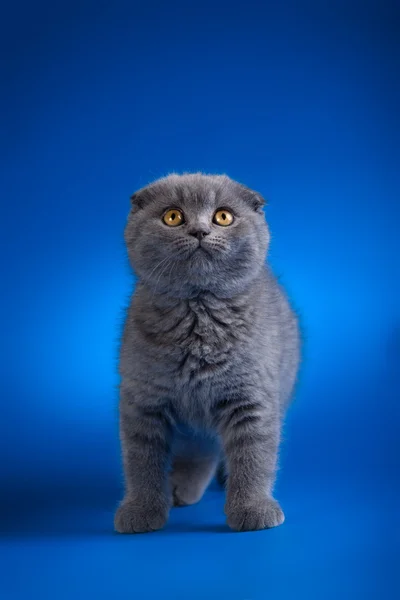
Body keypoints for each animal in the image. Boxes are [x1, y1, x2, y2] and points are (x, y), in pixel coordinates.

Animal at [114, 173, 298, 536]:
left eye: (223, 216)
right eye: (173, 216)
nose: (199, 231)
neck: (198, 314)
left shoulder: (251, 398)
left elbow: (254, 454)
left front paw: (252, 509)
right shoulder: (142, 401)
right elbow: (140, 460)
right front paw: (141, 510)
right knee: (200, 449)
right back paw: (181, 488)